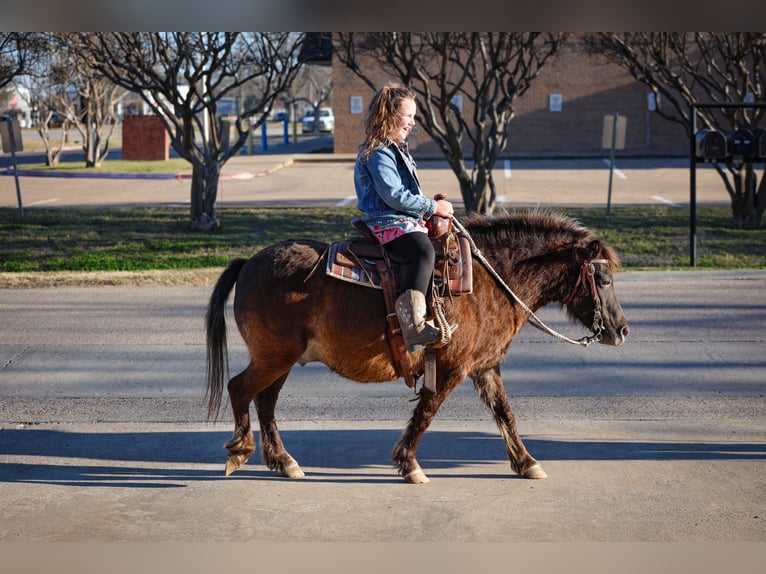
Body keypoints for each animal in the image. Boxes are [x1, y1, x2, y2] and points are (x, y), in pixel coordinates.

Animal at [205, 210, 630, 483]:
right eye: (604, 279)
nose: (622, 330)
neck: (489, 281)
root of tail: (248, 263)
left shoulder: (485, 367)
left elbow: (505, 414)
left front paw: (526, 463)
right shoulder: (452, 366)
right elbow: (427, 411)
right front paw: (408, 464)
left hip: (281, 360)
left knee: (265, 401)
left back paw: (283, 461)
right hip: (275, 356)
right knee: (240, 389)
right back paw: (240, 450)